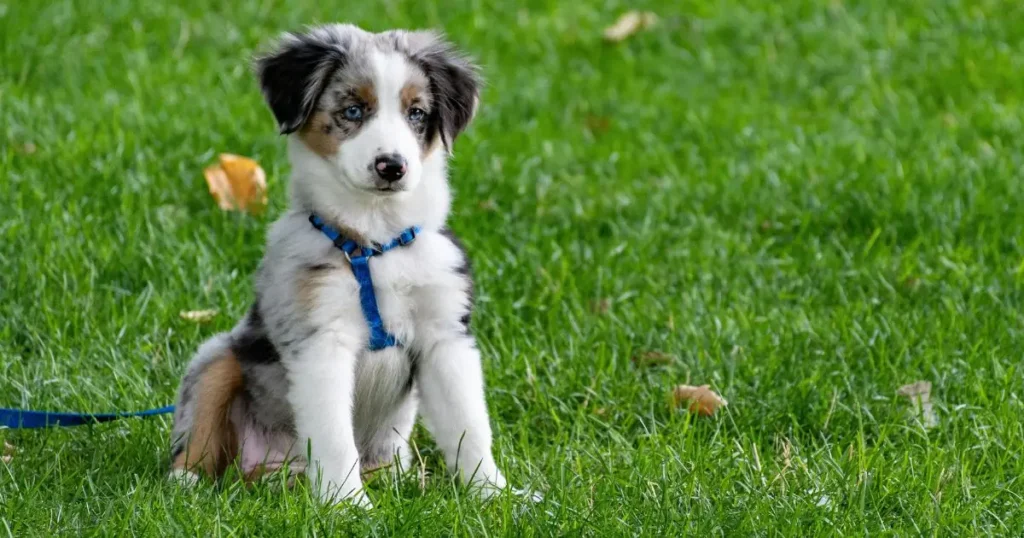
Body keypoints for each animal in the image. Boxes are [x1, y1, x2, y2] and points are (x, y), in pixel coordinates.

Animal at [172, 23, 520, 506]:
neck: (377, 241)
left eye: (417, 113)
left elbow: (469, 425)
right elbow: (335, 436)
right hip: (217, 357)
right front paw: (347, 506)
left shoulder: (445, 336)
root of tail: (275, 470)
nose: (391, 166)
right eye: (353, 110)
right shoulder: (321, 340)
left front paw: (495, 495)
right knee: (200, 431)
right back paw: (187, 483)